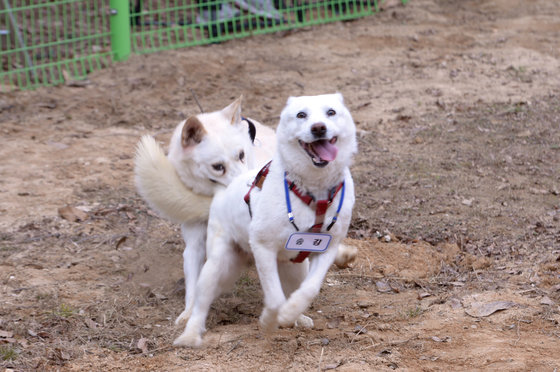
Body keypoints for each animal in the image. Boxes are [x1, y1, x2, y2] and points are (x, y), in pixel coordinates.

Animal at [174, 92, 358, 346]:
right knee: (201, 303)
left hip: (294, 268)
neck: (313, 191)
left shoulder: (325, 249)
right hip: (217, 265)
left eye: (331, 112)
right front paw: (270, 320)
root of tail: (228, 186)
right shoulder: (263, 248)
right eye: (301, 115)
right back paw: (190, 335)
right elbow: (274, 298)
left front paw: (290, 313)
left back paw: (298, 318)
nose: (319, 128)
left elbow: (309, 289)